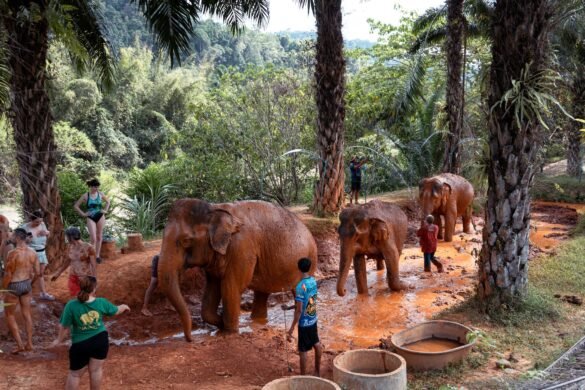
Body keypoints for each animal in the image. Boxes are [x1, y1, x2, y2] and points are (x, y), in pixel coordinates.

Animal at [157, 200, 318, 340]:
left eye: (186, 241)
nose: (190, 339)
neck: (214, 209)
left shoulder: (242, 249)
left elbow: (231, 287)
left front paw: (228, 332)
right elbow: (212, 288)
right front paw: (220, 323)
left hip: (309, 262)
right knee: (262, 291)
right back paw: (257, 321)